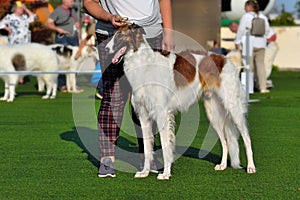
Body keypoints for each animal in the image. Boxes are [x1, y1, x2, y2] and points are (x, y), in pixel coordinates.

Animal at [107, 23, 255, 180]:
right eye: (113, 34)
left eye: (120, 35)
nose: (105, 49)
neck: (144, 64)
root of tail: (225, 59)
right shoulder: (143, 115)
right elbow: (147, 148)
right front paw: (145, 172)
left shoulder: (162, 114)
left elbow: (165, 146)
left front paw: (166, 173)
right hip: (214, 113)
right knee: (225, 141)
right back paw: (222, 165)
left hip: (233, 107)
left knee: (246, 138)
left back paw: (251, 167)